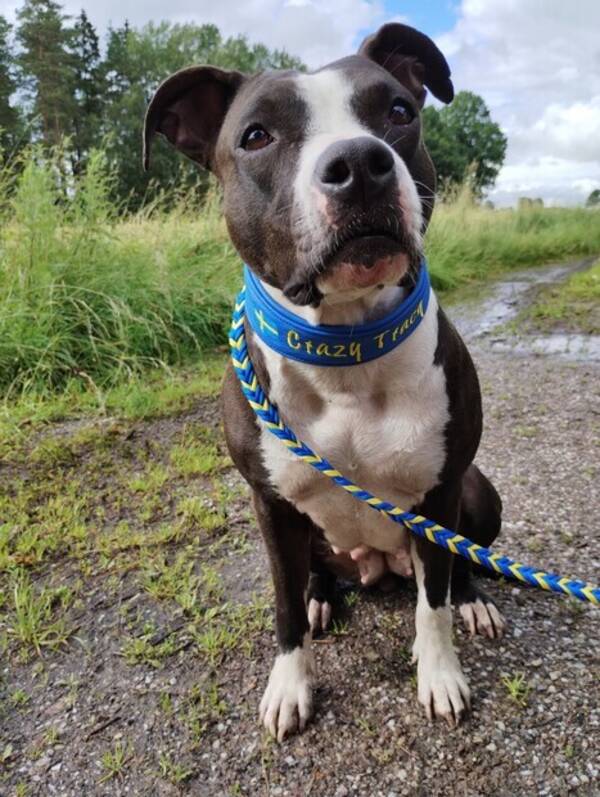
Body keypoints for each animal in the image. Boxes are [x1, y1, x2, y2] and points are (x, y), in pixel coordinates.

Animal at [145, 20, 506, 740]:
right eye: (256, 135)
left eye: (399, 111)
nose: (360, 164)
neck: (346, 348)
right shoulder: (270, 501)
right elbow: (281, 605)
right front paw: (290, 684)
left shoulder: (440, 492)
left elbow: (433, 603)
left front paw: (439, 672)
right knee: (313, 577)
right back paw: (321, 599)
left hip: (477, 493)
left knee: (455, 566)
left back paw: (473, 601)